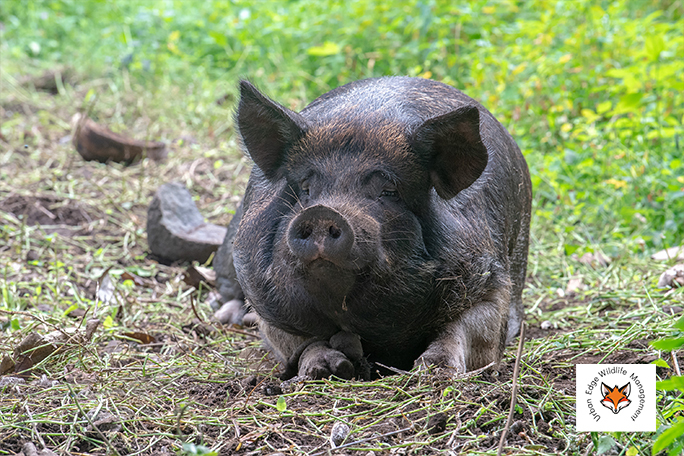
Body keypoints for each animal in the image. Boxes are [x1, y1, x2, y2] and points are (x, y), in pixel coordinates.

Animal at [215, 76, 532, 380]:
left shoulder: (489, 279)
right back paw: (229, 318)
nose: (322, 212)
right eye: (305, 188)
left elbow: (464, 332)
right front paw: (328, 370)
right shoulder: (264, 297)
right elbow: (298, 340)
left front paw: (434, 371)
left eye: (389, 190)